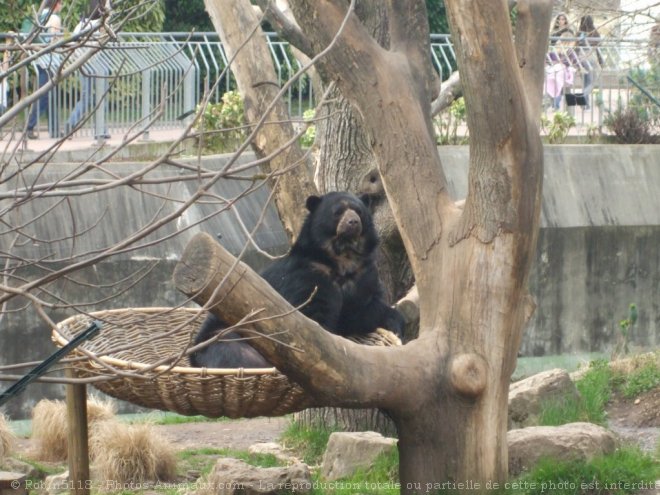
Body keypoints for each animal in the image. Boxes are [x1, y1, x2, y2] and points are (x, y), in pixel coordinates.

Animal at [191, 192, 404, 370]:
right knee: (237, 354)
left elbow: (361, 310)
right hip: (230, 338)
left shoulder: (363, 275)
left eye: (359, 211)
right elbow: (312, 316)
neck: (343, 258)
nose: (353, 222)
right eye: (337, 212)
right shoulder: (307, 275)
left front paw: (396, 323)